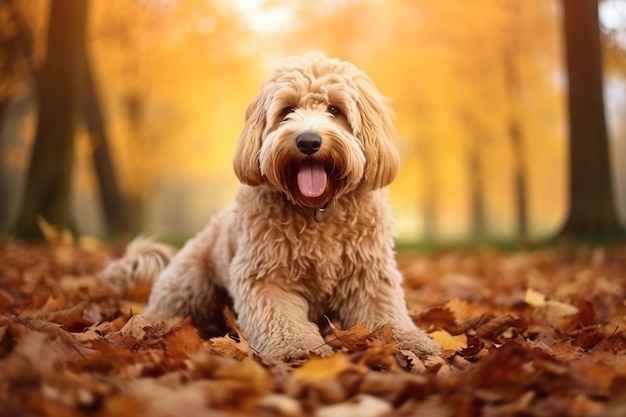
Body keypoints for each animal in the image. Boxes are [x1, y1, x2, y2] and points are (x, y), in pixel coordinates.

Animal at [98, 50, 438, 360]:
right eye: (287, 110)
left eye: (334, 109)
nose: (308, 141)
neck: (317, 209)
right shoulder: (266, 273)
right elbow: (280, 317)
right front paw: (297, 347)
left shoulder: (368, 274)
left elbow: (385, 314)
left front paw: (412, 342)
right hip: (189, 284)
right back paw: (148, 326)